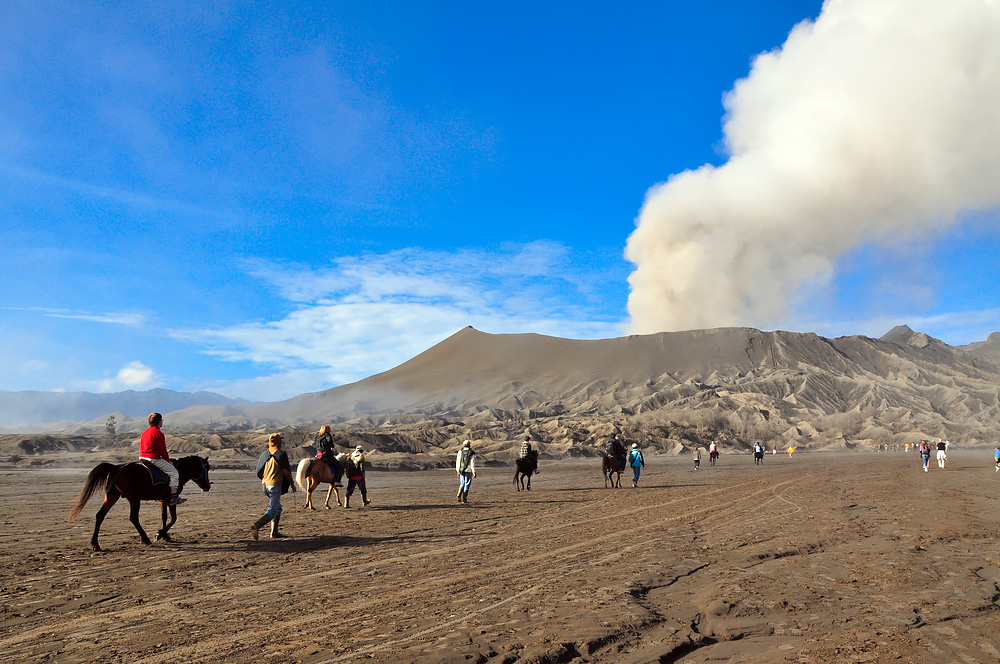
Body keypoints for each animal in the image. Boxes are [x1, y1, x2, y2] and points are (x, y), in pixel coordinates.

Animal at [68, 456, 211, 552]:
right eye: (206, 469)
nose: (207, 486)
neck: (179, 470)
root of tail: (118, 468)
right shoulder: (171, 499)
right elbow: (173, 518)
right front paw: (159, 535)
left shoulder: (163, 500)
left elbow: (164, 517)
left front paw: (165, 535)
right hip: (134, 498)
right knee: (133, 518)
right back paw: (145, 538)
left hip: (112, 496)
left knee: (100, 515)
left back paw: (95, 544)